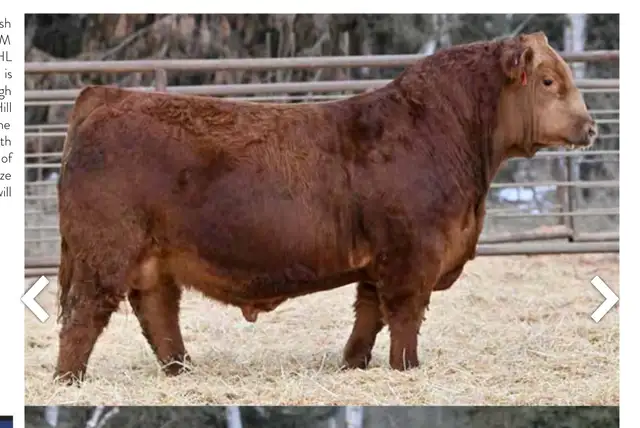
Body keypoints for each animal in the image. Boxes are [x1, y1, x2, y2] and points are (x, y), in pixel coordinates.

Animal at [53, 31, 597, 384]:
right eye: (548, 81)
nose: (590, 126)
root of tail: (107, 95)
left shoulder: (379, 261)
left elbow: (369, 314)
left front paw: (354, 364)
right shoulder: (412, 254)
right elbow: (405, 314)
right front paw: (407, 368)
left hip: (154, 260)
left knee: (158, 313)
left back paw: (182, 372)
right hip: (104, 254)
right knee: (85, 314)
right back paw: (69, 381)